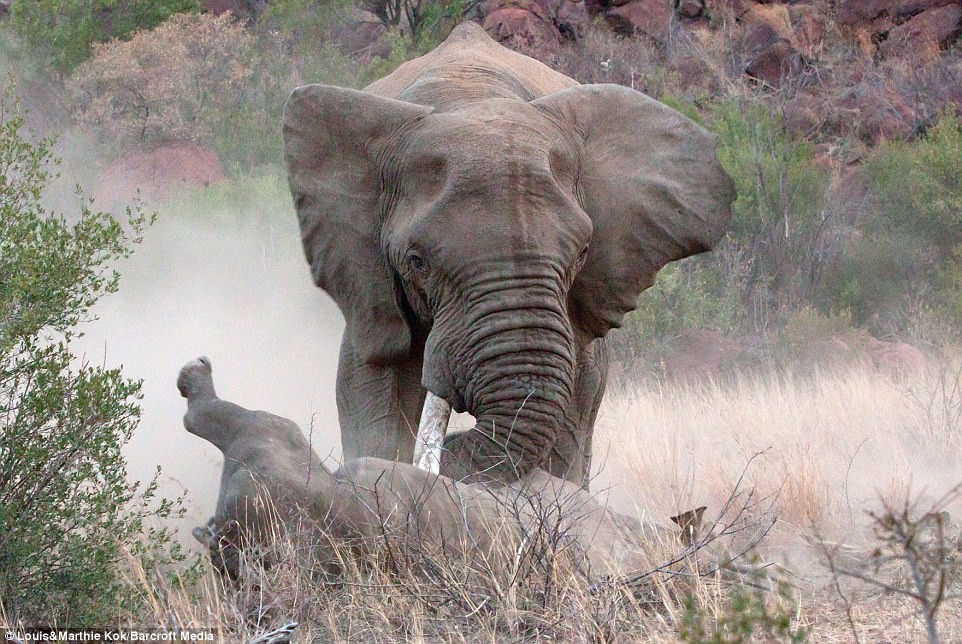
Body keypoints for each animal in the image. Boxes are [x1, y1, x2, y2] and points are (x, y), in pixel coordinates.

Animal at [282, 22, 732, 490]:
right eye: (416, 261)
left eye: (583, 252)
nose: (455, 444)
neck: (471, 98)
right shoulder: (370, 286)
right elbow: (373, 384)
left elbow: (576, 404)